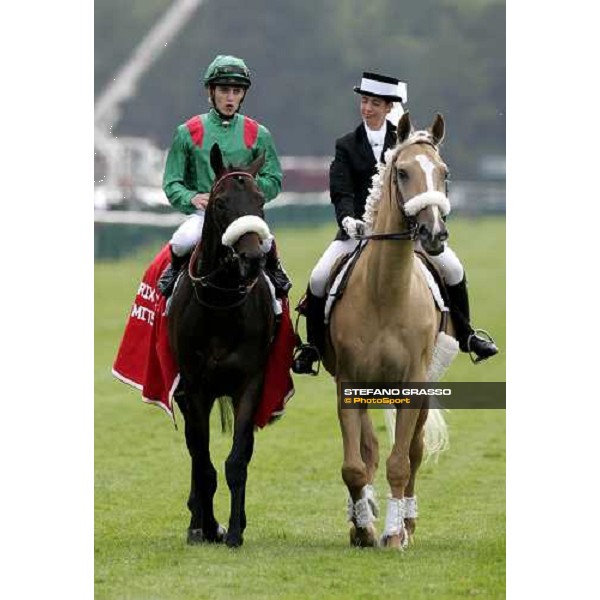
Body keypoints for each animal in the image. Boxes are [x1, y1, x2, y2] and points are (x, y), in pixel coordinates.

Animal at [169, 145, 276, 548]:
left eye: (260, 200)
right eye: (219, 202)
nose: (253, 257)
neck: (220, 305)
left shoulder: (250, 383)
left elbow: (236, 460)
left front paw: (233, 530)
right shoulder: (195, 387)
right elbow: (203, 461)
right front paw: (204, 526)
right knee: (194, 450)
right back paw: (198, 519)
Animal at [326, 111, 458, 548]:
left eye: (443, 173)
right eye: (401, 172)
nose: (434, 235)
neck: (386, 291)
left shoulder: (413, 382)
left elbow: (400, 461)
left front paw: (393, 534)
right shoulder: (349, 382)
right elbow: (354, 464)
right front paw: (364, 526)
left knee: (413, 451)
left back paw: (407, 522)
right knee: (368, 449)